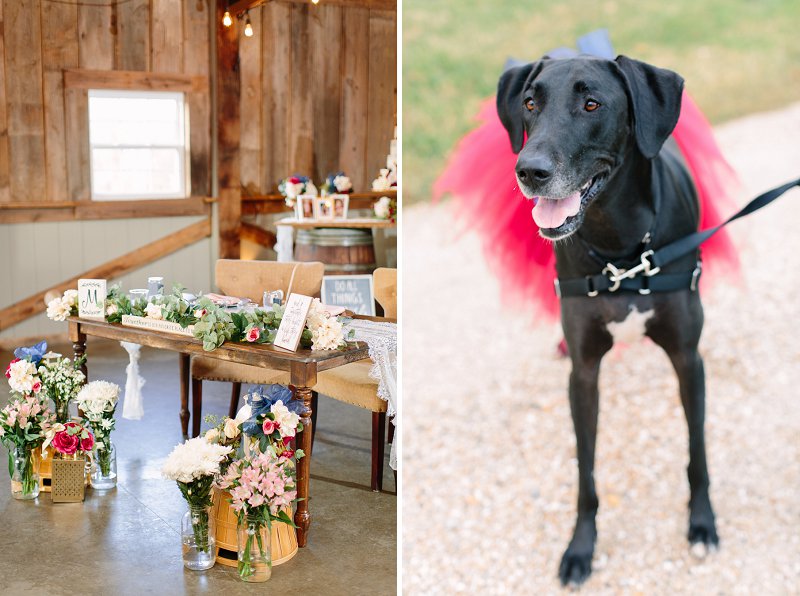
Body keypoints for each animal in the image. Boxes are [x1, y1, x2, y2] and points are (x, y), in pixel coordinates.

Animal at [500, 57, 720, 588]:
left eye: (592, 104)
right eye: (530, 103)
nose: (529, 171)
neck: (620, 249)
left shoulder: (688, 359)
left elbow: (697, 450)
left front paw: (702, 522)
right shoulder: (583, 374)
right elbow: (586, 470)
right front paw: (581, 547)